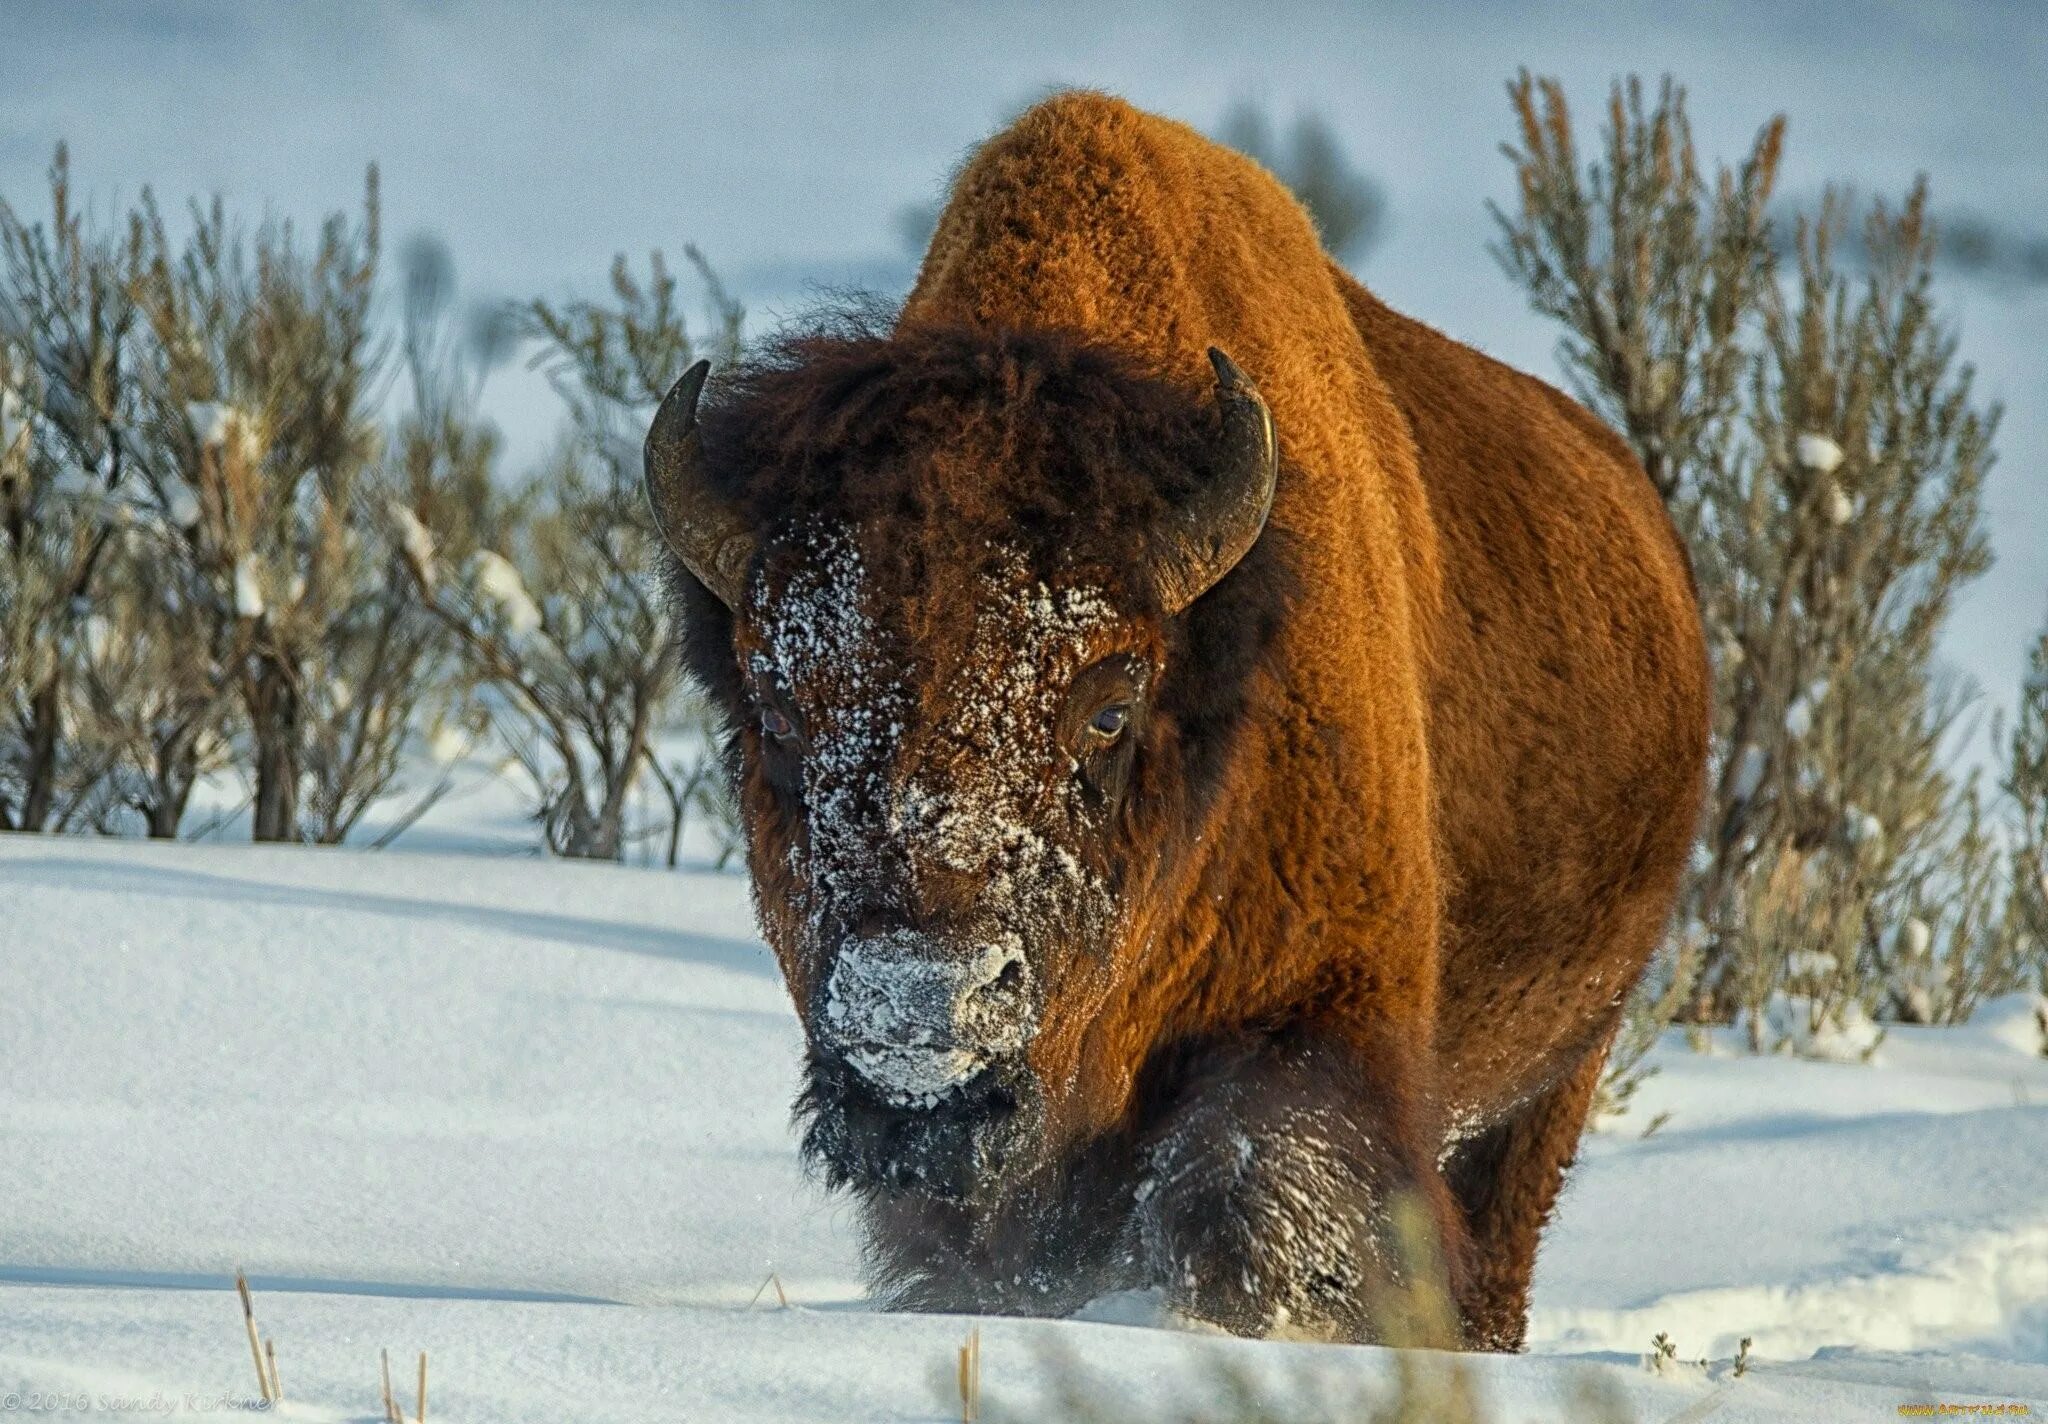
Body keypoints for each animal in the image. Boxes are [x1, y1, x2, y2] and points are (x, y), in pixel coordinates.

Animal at [647, 91, 1703, 1344]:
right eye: (775, 708)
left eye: (1109, 703)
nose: (918, 1000)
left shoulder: (1324, 1015)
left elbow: (1254, 1190)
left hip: (1554, 1078)